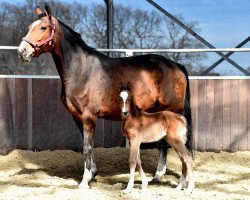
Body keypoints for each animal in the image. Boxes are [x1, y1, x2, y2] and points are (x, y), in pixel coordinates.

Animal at [17, 2, 193, 188]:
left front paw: (85, 180)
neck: (81, 69)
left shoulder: (89, 116)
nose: (22, 51)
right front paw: (93, 173)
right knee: (163, 144)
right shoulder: (78, 117)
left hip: (173, 112)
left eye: (43, 27)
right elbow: (87, 146)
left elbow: (87, 147)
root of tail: (176, 65)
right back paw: (158, 176)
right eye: (29, 27)